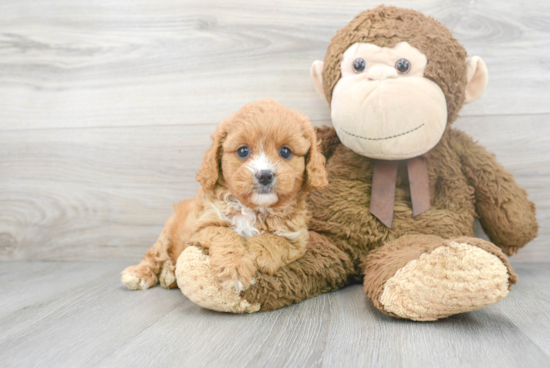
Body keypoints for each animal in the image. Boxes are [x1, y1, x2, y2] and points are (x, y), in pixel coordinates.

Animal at [121, 98, 328, 294]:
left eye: (285, 151)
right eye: (243, 151)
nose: (265, 175)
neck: (253, 209)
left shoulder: (297, 238)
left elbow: (275, 240)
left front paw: (255, 253)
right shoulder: (200, 226)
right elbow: (225, 233)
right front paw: (235, 267)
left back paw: (169, 275)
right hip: (167, 233)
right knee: (155, 255)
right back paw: (140, 274)